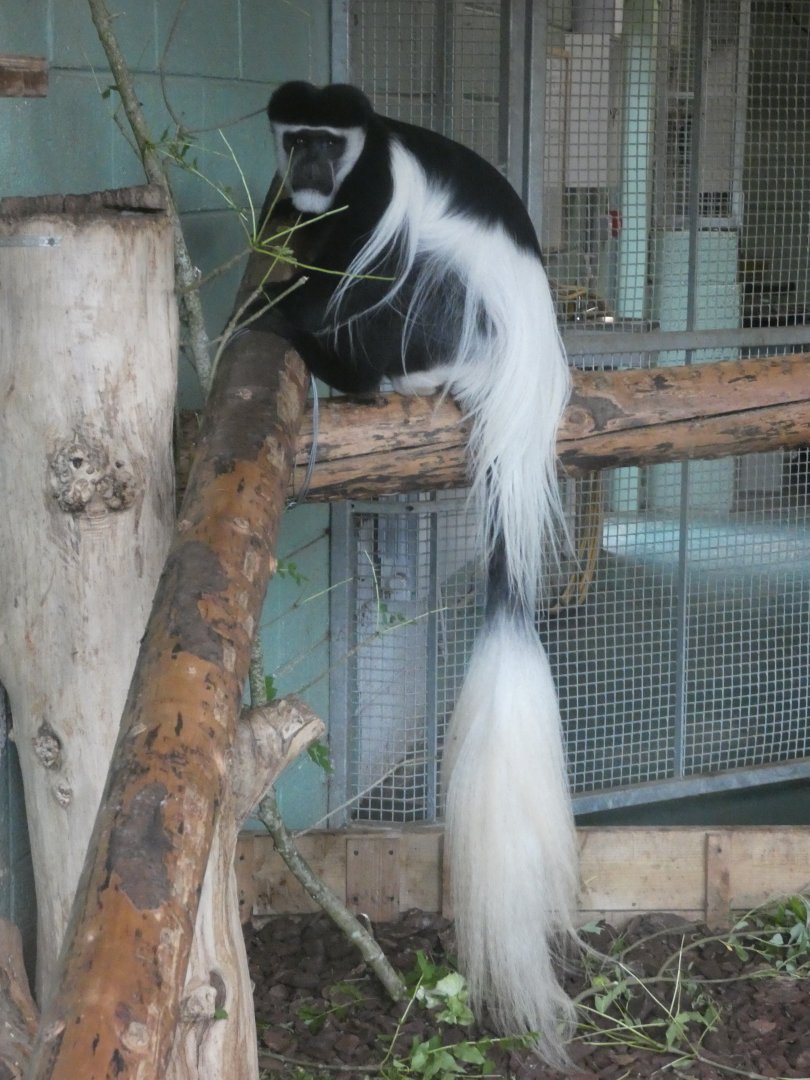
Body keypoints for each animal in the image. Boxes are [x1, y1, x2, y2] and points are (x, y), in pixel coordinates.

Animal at [263, 80, 578, 1064]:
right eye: (294, 138)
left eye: (328, 142)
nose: (308, 167)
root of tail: (523, 384)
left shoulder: (371, 196)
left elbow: (341, 272)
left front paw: (278, 312)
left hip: (448, 320)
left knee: (403, 283)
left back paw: (353, 368)